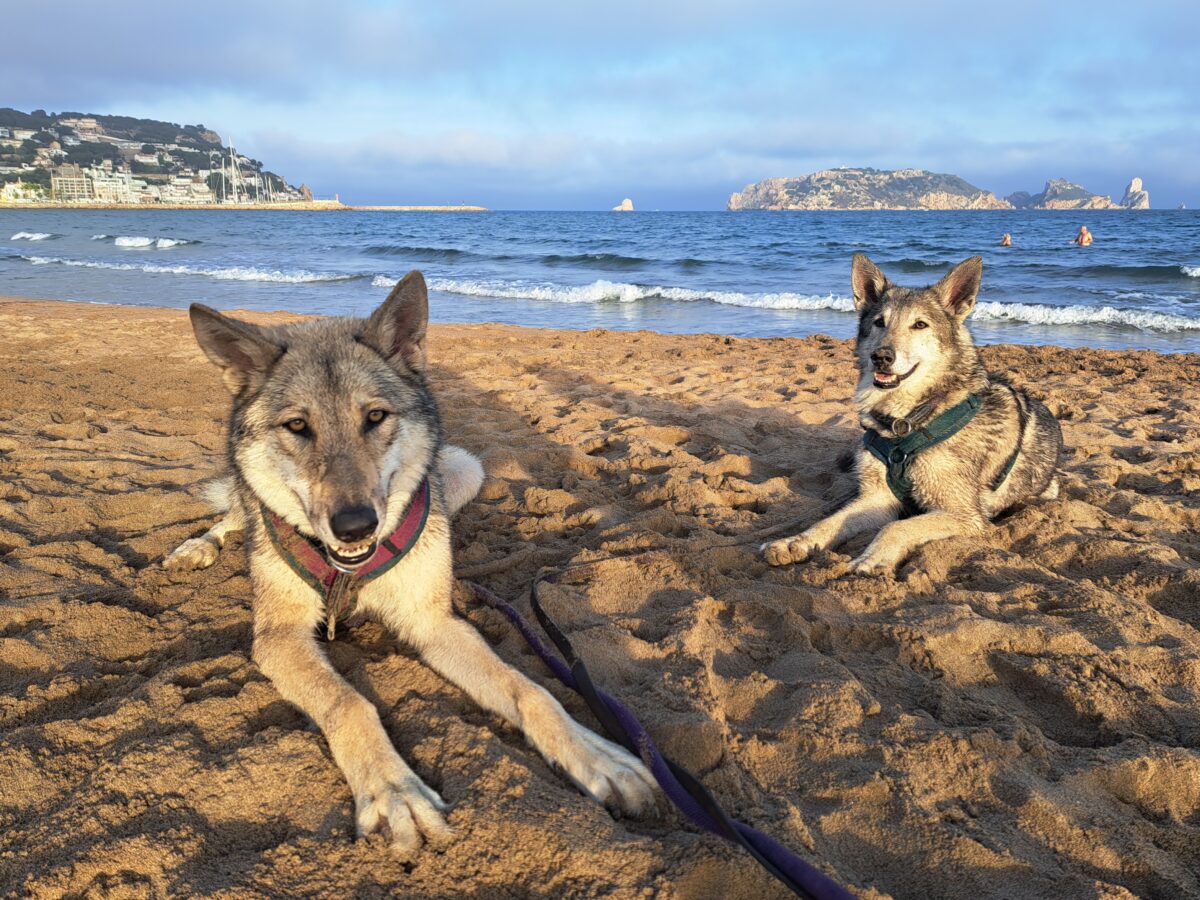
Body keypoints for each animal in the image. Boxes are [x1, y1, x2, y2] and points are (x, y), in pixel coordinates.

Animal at [164, 273, 657, 859]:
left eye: (375, 417)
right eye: (298, 426)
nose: (355, 526)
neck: (348, 572)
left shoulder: (434, 623)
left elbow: (528, 690)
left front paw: (593, 754)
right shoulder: (279, 636)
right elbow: (350, 704)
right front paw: (393, 790)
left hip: (464, 468)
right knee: (236, 512)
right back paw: (199, 546)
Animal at [763, 254, 1065, 578]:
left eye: (920, 324)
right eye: (879, 323)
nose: (881, 357)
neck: (906, 422)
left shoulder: (965, 515)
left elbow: (896, 527)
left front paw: (873, 559)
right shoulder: (877, 498)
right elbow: (829, 521)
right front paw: (795, 541)